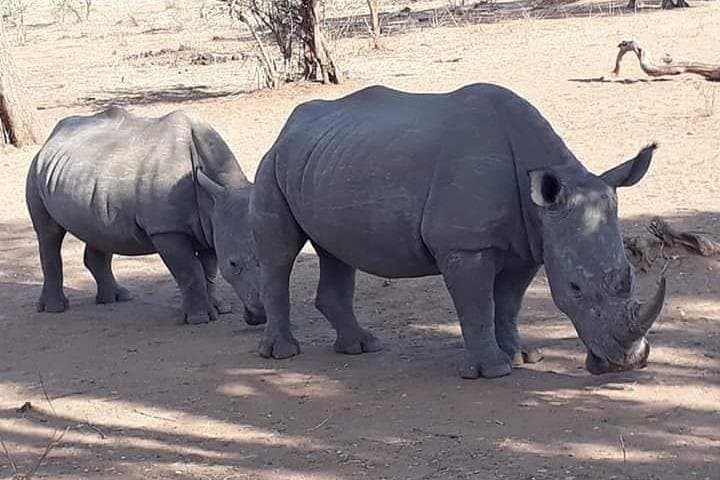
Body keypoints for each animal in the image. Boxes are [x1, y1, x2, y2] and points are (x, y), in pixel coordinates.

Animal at [26, 106, 265, 325]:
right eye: (233, 264)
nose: (262, 315)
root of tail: (51, 138)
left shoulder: (210, 225)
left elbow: (209, 270)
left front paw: (219, 309)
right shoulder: (166, 229)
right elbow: (190, 269)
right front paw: (199, 319)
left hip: (88, 176)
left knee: (98, 231)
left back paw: (116, 298)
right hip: (36, 169)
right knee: (49, 233)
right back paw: (55, 309)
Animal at [249, 83, 666, 378]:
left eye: (630, 277)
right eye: (576, 288)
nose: (627, 364)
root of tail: (291, 124)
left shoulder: (530, 242)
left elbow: (508, 303)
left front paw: (523, 356)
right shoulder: (464, 244)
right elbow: (478, 304)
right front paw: (494, 371)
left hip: (330, 160)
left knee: (335, 250)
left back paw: (363, 347)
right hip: (272, 161)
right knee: (279, 254)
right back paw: (283, 353)